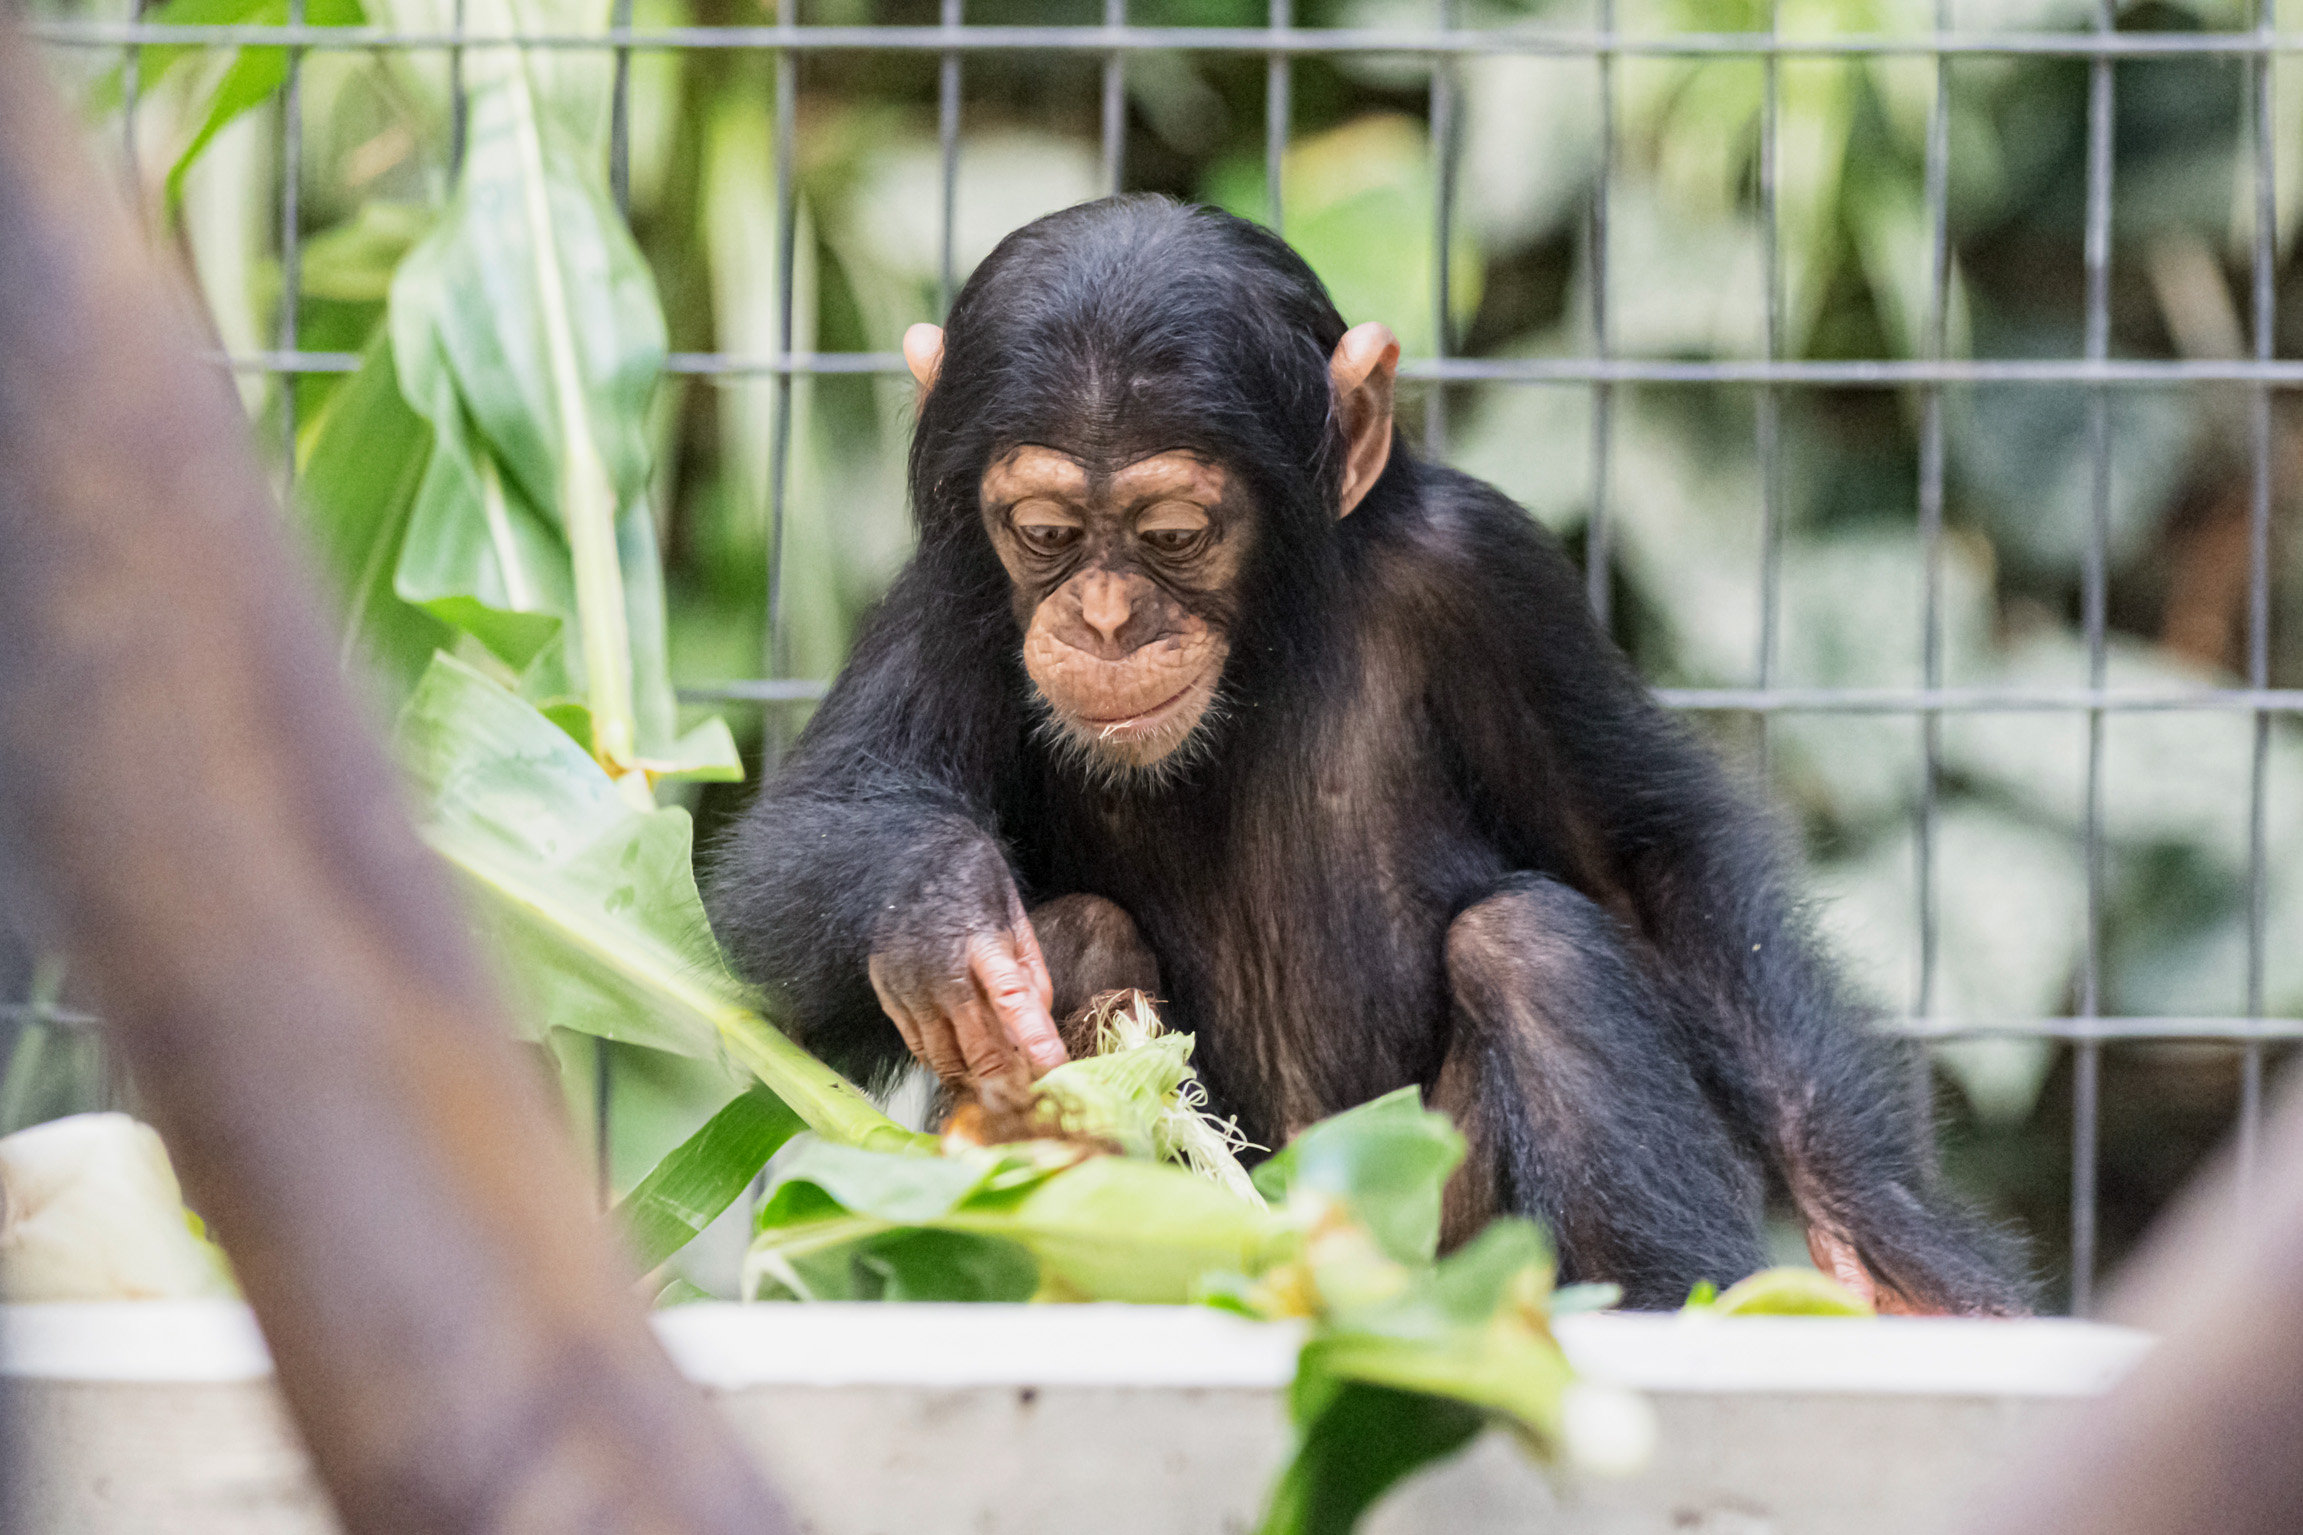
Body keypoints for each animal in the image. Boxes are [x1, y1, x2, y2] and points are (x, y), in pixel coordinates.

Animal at [709, 192, 2026, 1316]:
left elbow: (1640, 865)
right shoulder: (945, 600)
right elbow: (777, 893)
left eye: (1173, 534)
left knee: (1535, 946)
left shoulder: (1489, 573)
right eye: (1042, 531)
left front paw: (1890, 1243)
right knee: (1077, 935)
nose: (1104, 617)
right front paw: (933, 908)